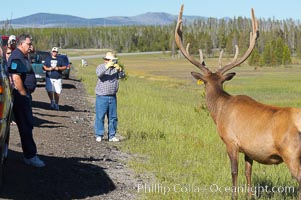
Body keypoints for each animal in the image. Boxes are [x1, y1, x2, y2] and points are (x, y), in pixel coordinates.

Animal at [175, 3, 300, 199]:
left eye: (206, 83)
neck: (219, 111)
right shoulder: (249, 150)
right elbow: (249, 173)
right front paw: (249, 196)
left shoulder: (231, 141)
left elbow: (234, 172)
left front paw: (234, 196)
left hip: (291, 153)